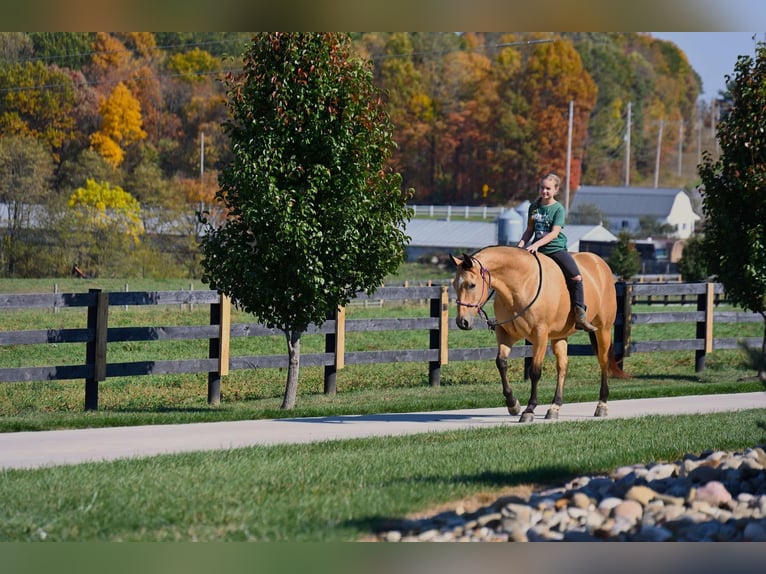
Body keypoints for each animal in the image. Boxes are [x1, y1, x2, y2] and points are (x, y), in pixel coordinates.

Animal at [452, 245, 628, 426]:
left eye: (472, 285)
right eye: (454, 285)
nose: (462, 322)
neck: (520, 284)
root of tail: (600, 264)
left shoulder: (540, 336)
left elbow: (535, 372)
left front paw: (529, 410)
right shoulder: (506, 334)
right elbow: (501, 363)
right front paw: (513, 404)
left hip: (603, 329)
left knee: (603, 362)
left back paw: (602, 405)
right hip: (560, 336)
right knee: (563, 366)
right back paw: (554, 407)